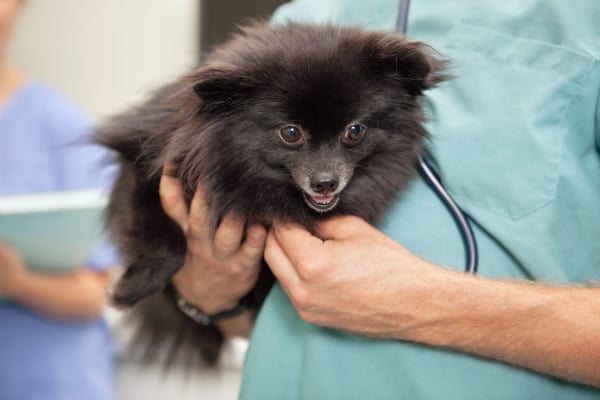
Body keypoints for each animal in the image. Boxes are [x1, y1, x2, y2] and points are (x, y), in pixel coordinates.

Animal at [96, 21, 448, 366]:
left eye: (355, 130)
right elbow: (168, 243)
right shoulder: (141, 168)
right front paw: (133, 287)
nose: (325, 183)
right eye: (290, 133)